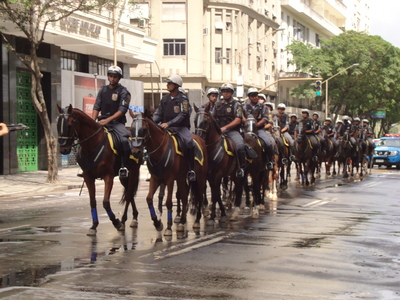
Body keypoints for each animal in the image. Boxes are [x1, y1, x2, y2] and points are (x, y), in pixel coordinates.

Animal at [57, 105, 141, 237]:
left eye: (70, 124)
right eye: (57, 124)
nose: (63, 150)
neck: (93, 144)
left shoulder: (108, 177)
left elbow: (105, 202)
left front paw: (116, 222)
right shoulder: (88, 178)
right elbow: (92, 202)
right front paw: (94, 226)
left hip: (133, 171)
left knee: (129, 195)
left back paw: (126, 220)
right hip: (124, 176)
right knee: (129, 193)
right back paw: (132, 218)